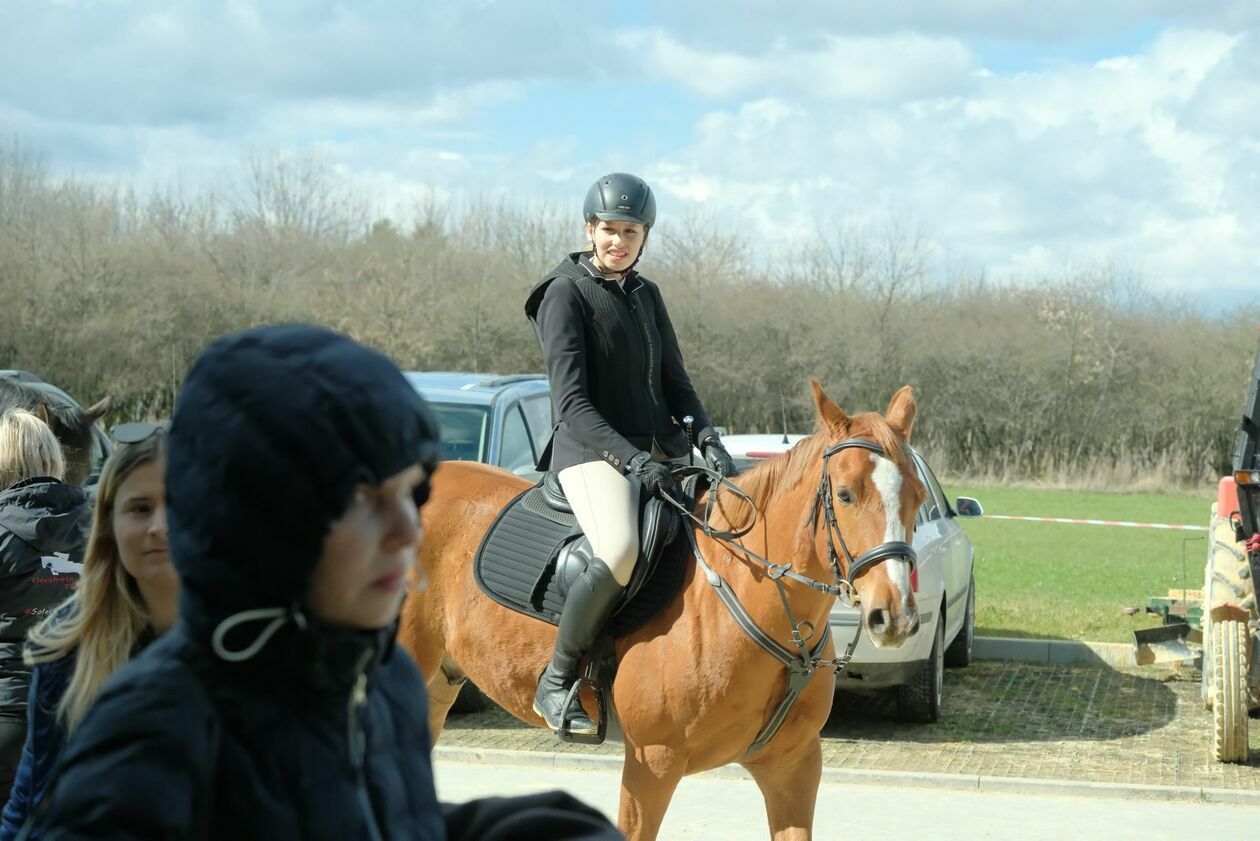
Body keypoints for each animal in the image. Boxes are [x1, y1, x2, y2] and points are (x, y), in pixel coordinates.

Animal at [400, 383, 927, 841]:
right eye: (845, 495)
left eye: (919, 497)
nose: (895, 616)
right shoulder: (651, 764)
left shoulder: (793, 767)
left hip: (436, 690)